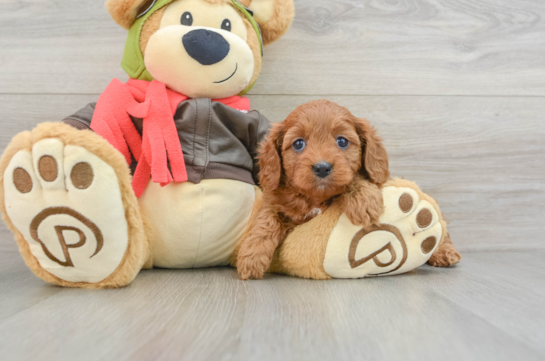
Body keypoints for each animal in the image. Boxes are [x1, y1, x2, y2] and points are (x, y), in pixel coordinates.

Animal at [236, 100, 388, 280]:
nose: (322, 168)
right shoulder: (274, 202)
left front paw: (364, 201)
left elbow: (353, 179)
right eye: (298, 144)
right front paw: (251, 257)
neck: (315, 198)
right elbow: (266, 222)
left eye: (342, 141)